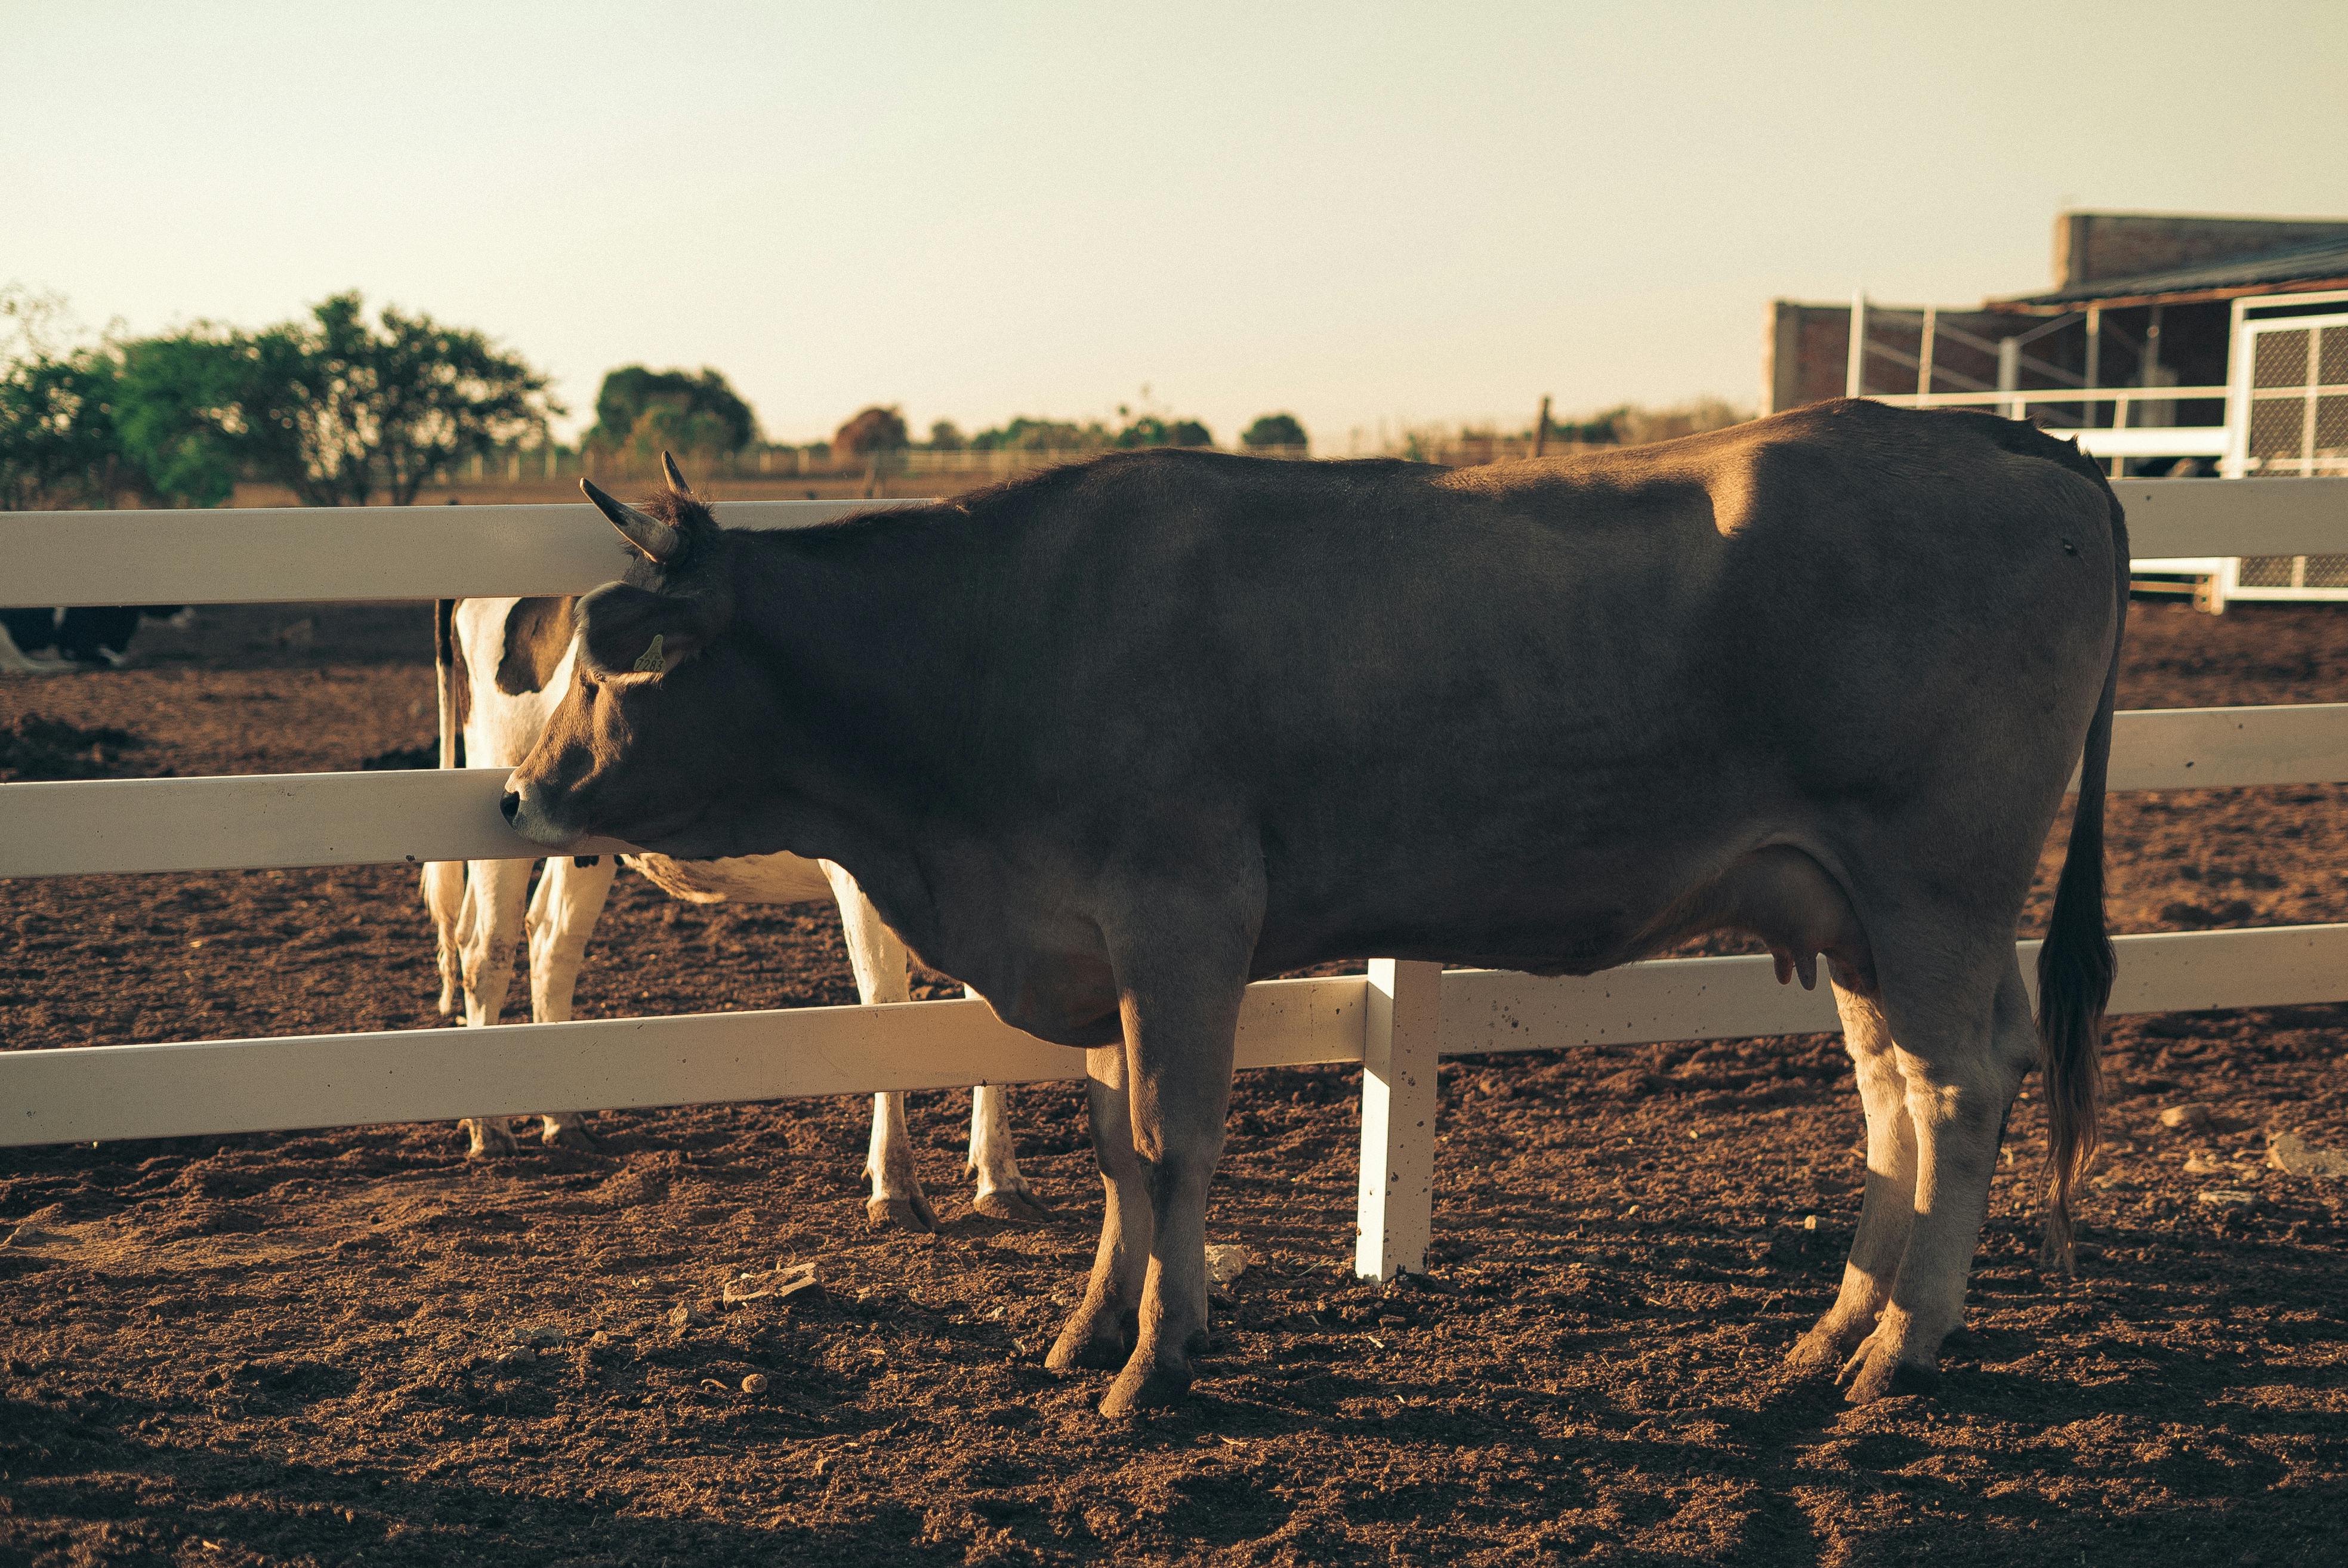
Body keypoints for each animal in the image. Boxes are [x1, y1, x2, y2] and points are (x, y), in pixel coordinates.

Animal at [419, 568, 1046, 1228]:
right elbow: (884, 1003)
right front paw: (894, 1187)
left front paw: (999, 1178)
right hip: (503, 784)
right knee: (486, 950)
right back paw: (489, 1130)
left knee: (551, 942)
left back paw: (563, 1120)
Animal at [502, 403, 2126, 1416]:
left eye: (616, 654)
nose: (517, 795)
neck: (995, 639)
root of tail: (2017, 441)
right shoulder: (1096, 946)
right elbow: (1118, 1147)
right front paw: (1094, 1329)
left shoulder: (1182, 922)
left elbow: (1171, 1143)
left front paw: (1151, 1366)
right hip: (1852, 910)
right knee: (1894, 1095)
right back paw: (1830, 1328)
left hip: (1929, 882)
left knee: (1956, 1085)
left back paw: (1899, 1350)